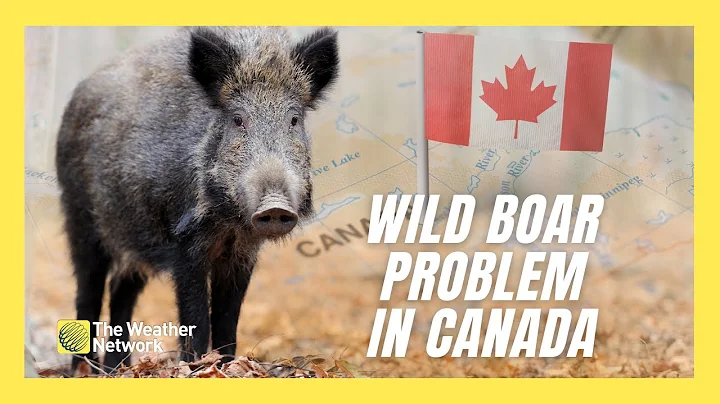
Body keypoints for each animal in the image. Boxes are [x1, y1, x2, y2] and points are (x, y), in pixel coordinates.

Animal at [54, 26, 339, 374]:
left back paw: (116, 370)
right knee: (88, 290)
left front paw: (227, 366)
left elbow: (228, 318)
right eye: (237, 119)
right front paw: (195, 368)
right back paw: (82, 372)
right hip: (79, 217)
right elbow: (196, 318)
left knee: (122, 293)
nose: (274, 205)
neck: (228, 223)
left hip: (132, 238)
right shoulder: (184, 246)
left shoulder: (242, 254)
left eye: (294, 120)